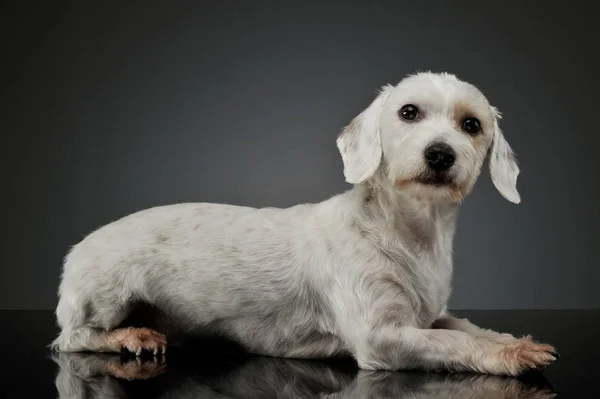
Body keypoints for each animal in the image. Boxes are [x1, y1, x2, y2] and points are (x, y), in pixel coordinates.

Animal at [50, 71, 556, 376]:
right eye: (408, 111)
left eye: (472, 125)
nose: (440, 154)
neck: (407, 233)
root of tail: (76, 250)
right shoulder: (380, 337)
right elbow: (453, 344)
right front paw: (510, 354)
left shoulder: (432, 314)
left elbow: (467, 329)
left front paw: (515, 340)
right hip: (104, 296)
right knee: (72, 338)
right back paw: (129, 337)